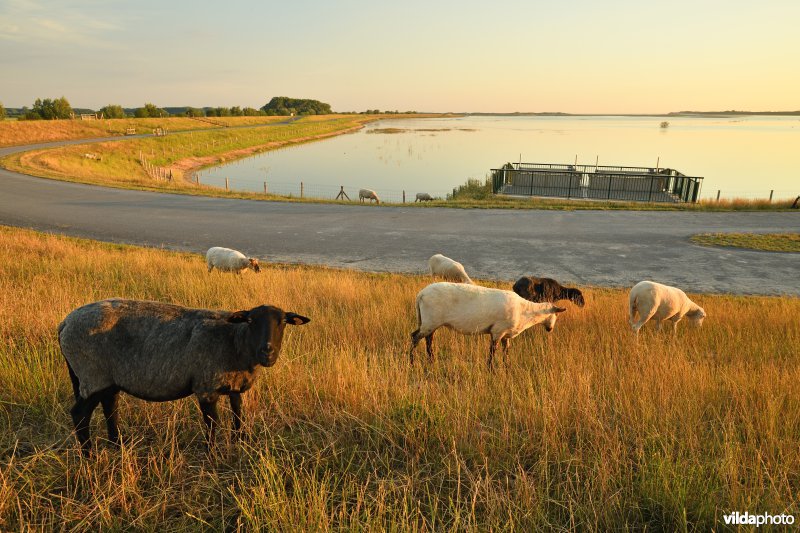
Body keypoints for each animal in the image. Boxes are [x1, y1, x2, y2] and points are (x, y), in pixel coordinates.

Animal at [58, 298, 310, 456]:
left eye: (283, 322)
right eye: (250, 321)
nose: (268, 351)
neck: (235, 342)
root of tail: (65, 324)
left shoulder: (235, 386)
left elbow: (238, 416)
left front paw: (240, 444)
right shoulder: (206, 387)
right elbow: (212, 423)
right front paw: (212, 455)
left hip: (106, 378)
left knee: (110, 406)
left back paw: (117, 445)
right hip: (92, 374)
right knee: (79, 414)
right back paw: (89, 456)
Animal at [410, 282, 564, 366]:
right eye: (556, 315)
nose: (550, 329)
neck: (525, 311)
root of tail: (421, 294)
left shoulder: (505, 335)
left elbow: (506, 351)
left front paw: (506, 367)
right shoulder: (497, 331)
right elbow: (492, 351)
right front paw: (490, 369)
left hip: (431, 322)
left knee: (428, 340)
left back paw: (431, 361)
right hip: (430, 321)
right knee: (415, 337)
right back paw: (412, 362)